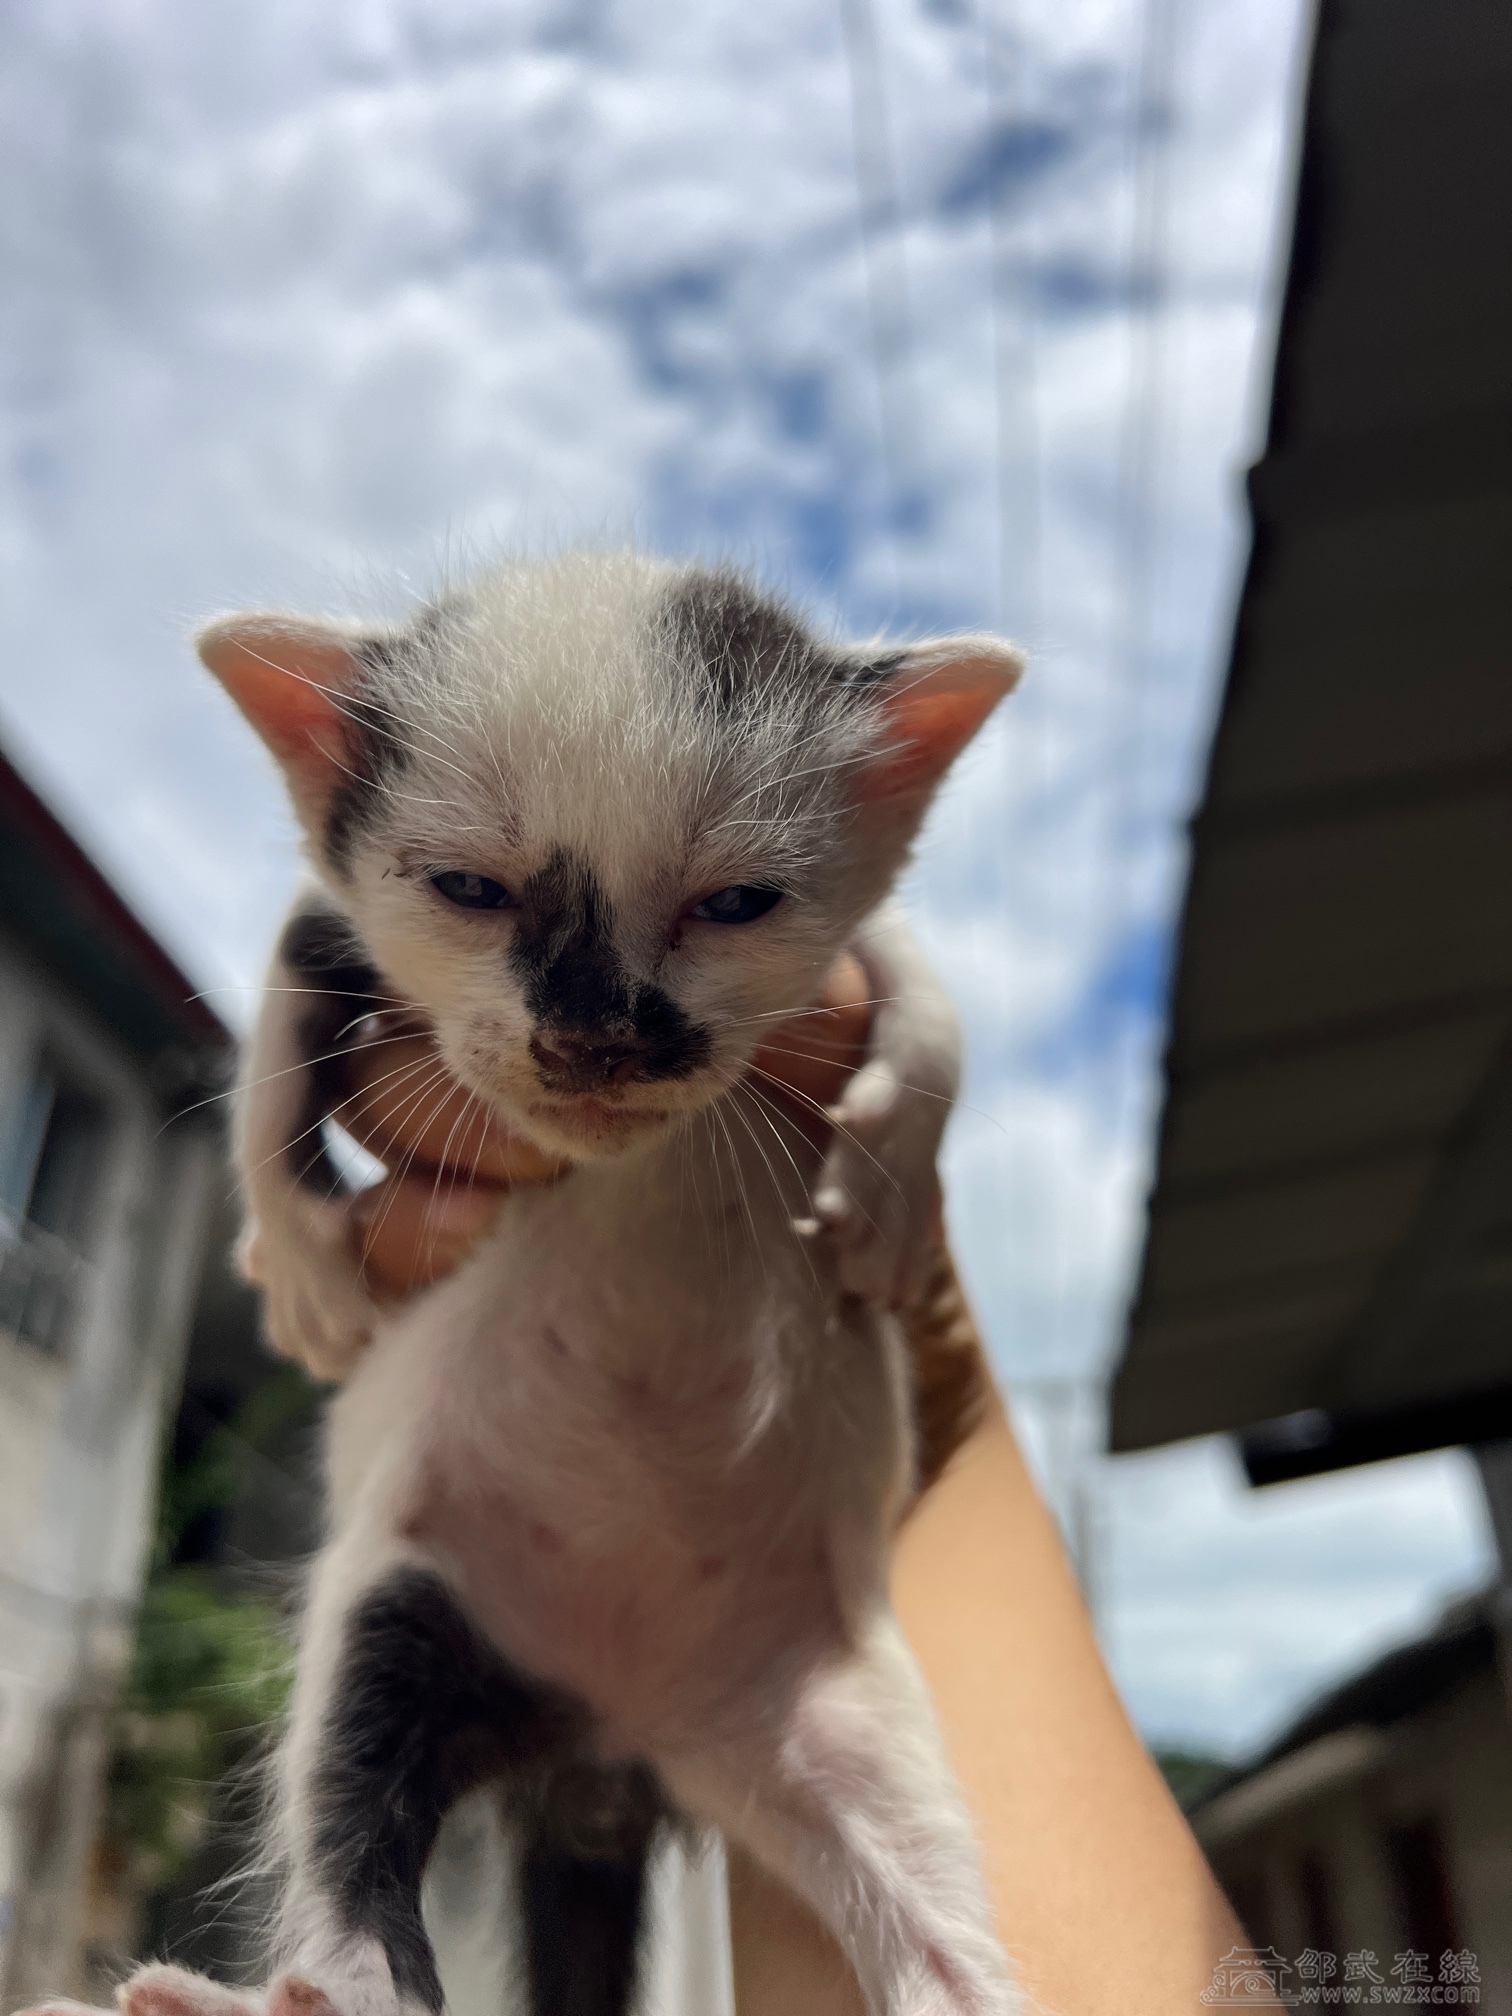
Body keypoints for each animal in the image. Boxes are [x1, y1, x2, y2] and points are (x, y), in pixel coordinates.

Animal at [62, 555, 1022, 2016]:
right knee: (354, 1829)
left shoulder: (862, 953)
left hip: (844, 1718)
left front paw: (891, 1185)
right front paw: (302, 1258)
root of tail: (607, 1752)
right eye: (470, 886)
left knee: (948, 1953)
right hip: (402, 1608)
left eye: (736, 903)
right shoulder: (337, 918)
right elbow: (285, 994)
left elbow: (922, 1002)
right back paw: (269, 1992)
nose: (595, 1035)